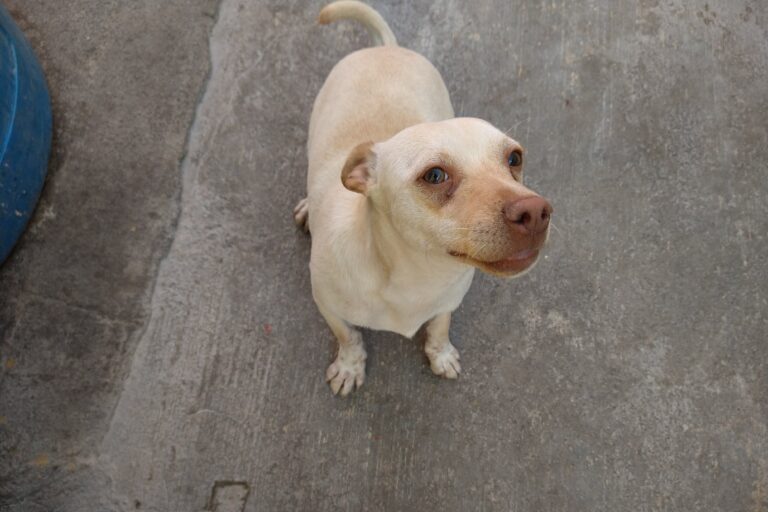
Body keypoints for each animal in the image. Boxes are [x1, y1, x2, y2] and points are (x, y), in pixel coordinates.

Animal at [294, 1, 552, 396]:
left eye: (514, 158)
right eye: (434, 175)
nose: (536, 212)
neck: (419, 275)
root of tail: (386, 48)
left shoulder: (448, 300)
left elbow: (439, 326)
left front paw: (440, 354)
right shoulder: (327, 304)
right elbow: (349, 337)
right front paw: (350, 366)